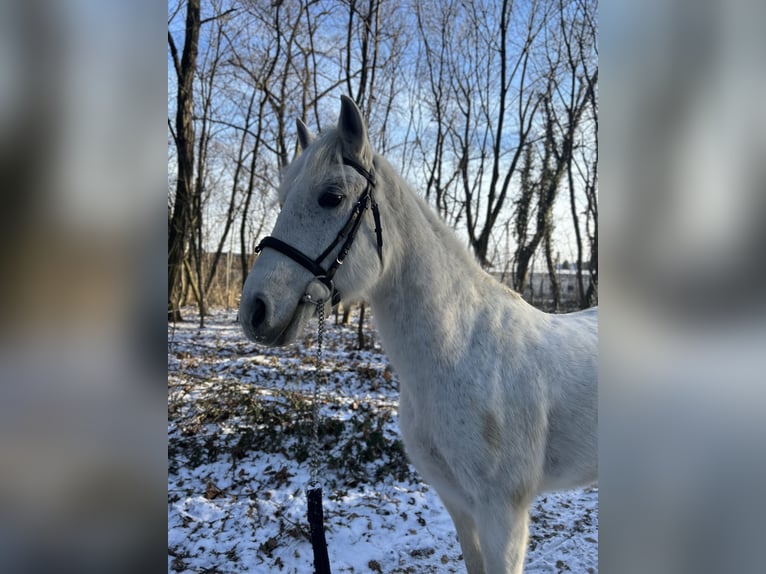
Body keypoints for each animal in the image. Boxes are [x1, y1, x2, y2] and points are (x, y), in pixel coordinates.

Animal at [238, 95, 598, 574]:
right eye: (282, 199)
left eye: (331, 197)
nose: (255, 310)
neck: (461, 354)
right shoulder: (459, 505)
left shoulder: (504, 518)